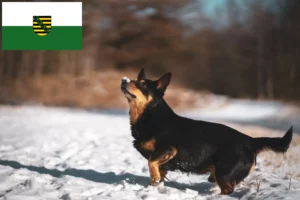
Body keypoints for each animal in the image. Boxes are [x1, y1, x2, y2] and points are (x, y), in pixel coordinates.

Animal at [120, 69, 292, 195]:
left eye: (142, 84)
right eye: (133, 80)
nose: (123, 80)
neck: (151, 115)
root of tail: (250, 140)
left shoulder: (168, 149)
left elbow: (151, 162)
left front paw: (154, 180)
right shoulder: (163, 163)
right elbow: (156, 171)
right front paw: (156, 187)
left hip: (224, 174)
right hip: (220, 175)